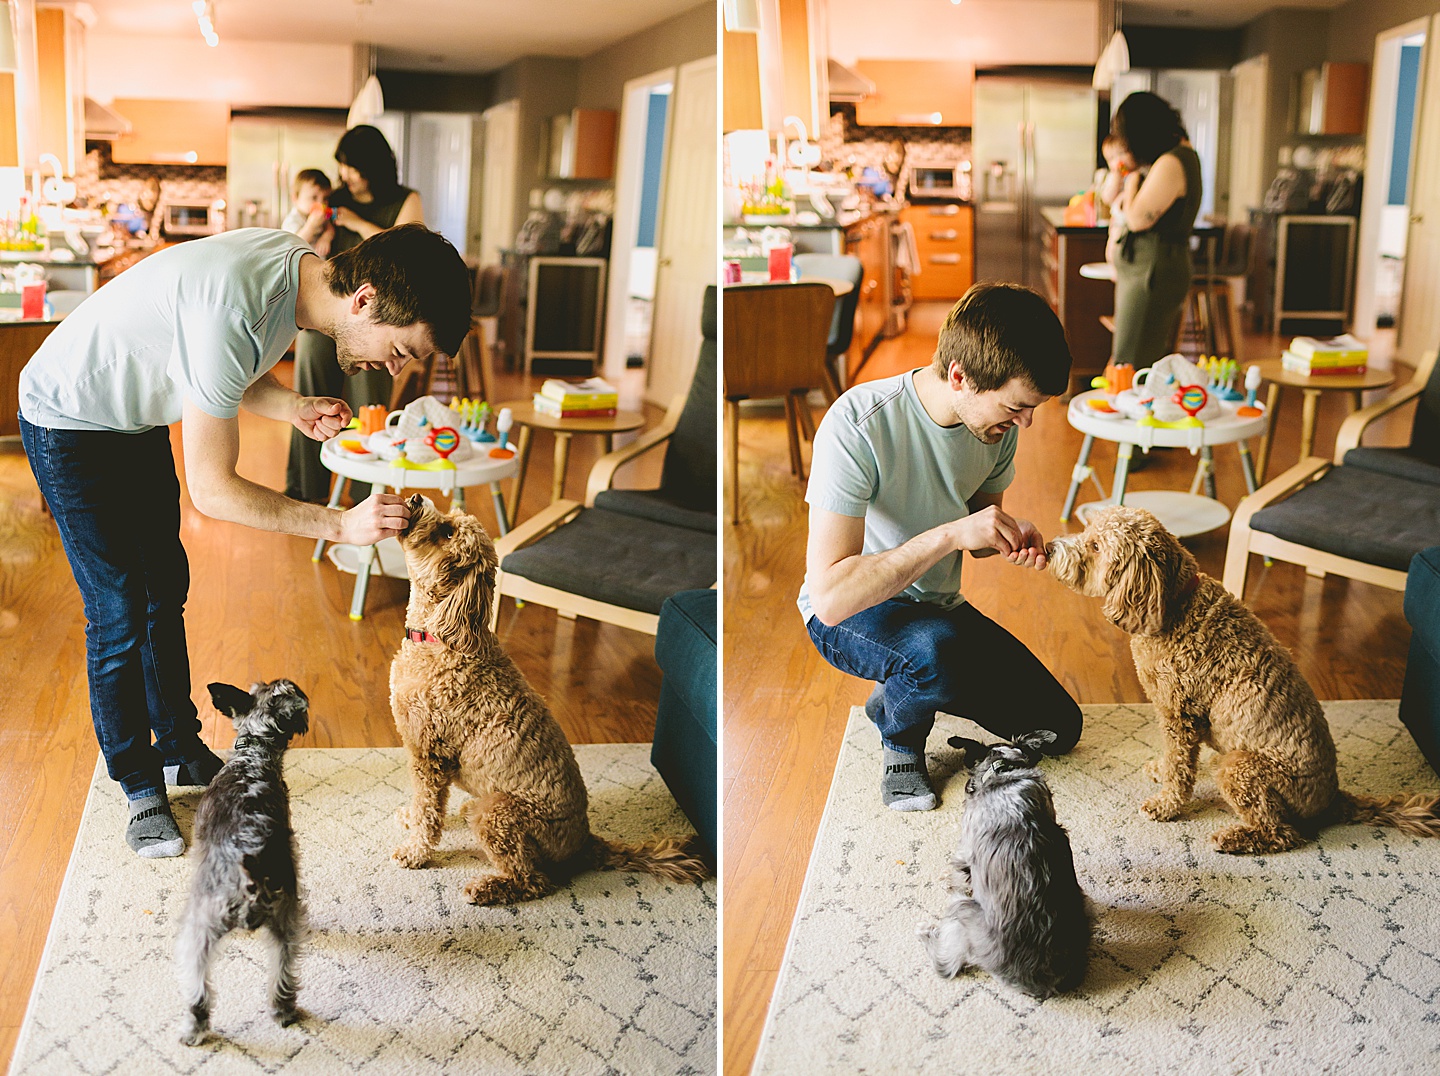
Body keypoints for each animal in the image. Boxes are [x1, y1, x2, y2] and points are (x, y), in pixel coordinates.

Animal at [176, 682, 309, 1042]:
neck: (254, 752)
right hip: (285, 926)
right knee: (283, 973)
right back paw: (284, 1011)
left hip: (200, 927)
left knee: (197, 986)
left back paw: (193, 1027)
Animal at [391, 498, 711, 910]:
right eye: (448, 517)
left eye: (447, 532)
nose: (415, 499)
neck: (442, 638)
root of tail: (584, 844)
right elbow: (424, 807)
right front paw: (410, 818)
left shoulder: (431, 756)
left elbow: (428, 812)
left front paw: (415, 852)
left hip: (499, 814)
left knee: (534, 880)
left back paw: (489, 888)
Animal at [915, 731, 1082, 1002]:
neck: (1003, 771)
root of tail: (1041, 984)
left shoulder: (965, 851)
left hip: (962, 911)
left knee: (945, 962)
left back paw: (925, 931)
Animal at [1048, 507, 1440, 858]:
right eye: (1088, 531)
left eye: (1095, 546)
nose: (1050, 547)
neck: (1175, 604)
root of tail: (1332, 800)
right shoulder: (1173, 718)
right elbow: (1173, 760)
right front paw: (1160, 770)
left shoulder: (1181, 716)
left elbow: (1180, 767)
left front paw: (1166, 806)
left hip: (1241, 767)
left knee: (1283, 832)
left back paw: (1235, 839)